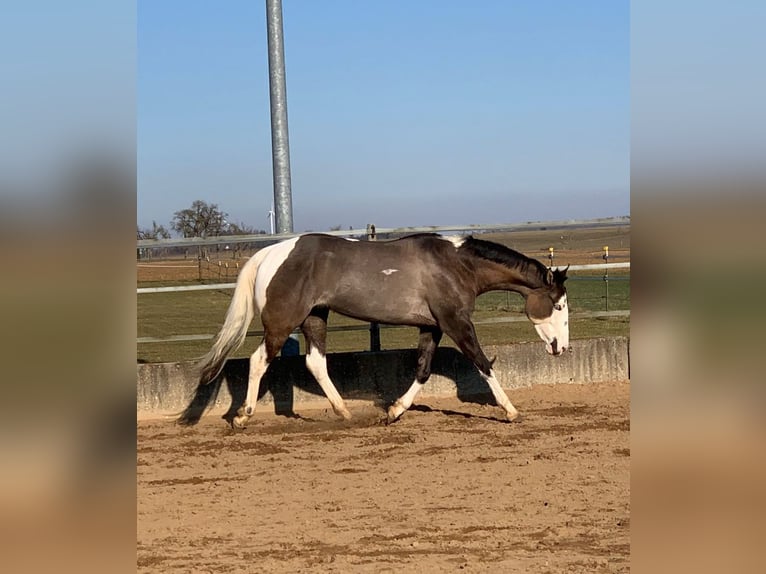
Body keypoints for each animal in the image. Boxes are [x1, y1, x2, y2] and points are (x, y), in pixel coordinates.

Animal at [178, 233, 569, 428]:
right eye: (559, 306)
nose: (561, 348)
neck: (456, 265)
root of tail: (270, 253)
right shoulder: (455, 322)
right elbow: (483, 363)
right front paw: (511, 411)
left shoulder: (432, 326)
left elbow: (423, 370)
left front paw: (393, 412)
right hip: (282, 321)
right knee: (259, 360)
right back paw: (242, 416)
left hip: (316, 317)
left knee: (315, 363)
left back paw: (344, 413)